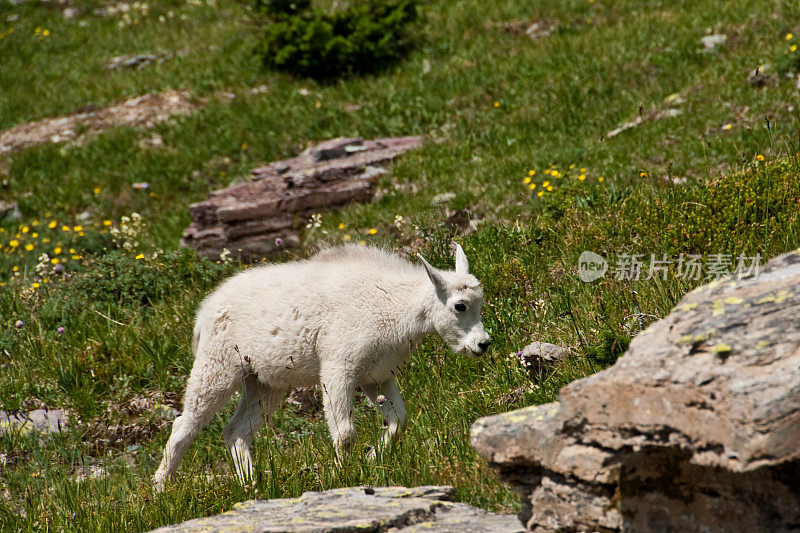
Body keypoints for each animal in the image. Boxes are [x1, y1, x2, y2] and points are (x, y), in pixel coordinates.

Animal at [150, 243, 488, 484]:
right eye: (460, 306)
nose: (482, 344)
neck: (395, 306)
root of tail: (204, 312)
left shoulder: (376, 376)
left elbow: (398, 421)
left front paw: (371, 460)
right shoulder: (339, 368)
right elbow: (345, 432)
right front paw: (342, 475)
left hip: (263, 381)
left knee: (236, 430)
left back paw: (251, 485)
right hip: (217, 366)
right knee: (186, 423)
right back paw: (160, 488)